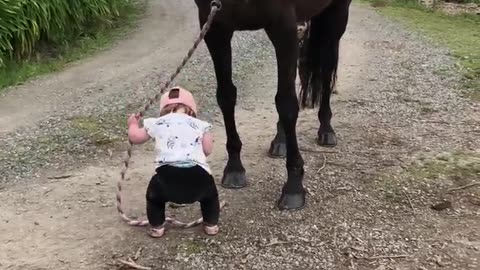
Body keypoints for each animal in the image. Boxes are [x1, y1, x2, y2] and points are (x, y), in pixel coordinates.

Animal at [194, 0, 352, 210]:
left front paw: (293, 186)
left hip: (336, 15)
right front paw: (234, 168)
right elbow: (226, 96)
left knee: (326, 69)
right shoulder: (216, 27)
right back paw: (280, 140)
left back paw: (326, 130)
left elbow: (286, 104)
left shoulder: (283, 26)